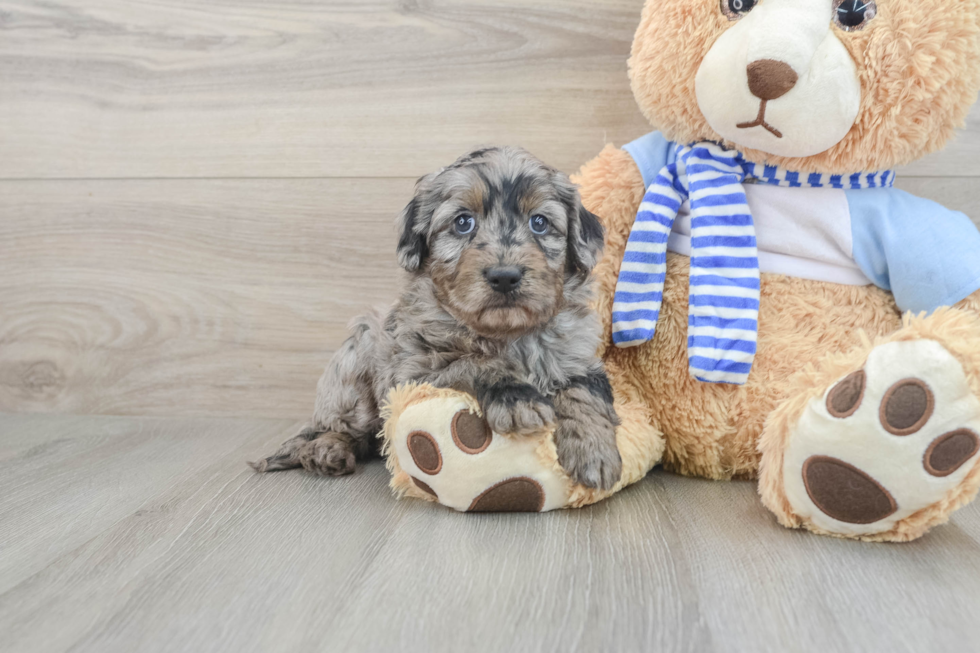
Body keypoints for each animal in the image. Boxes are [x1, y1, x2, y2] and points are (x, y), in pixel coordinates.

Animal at [251, 146, 620, 488]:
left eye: (540, 223)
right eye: (463, 222)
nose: (505, 276)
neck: (508, 333)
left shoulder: (578, 356)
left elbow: (585, 392)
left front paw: (595, 449)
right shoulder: (414, 372)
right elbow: (474, 362)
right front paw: (517, 397)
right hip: (355, 363)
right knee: (337, 428)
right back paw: (328, 450)